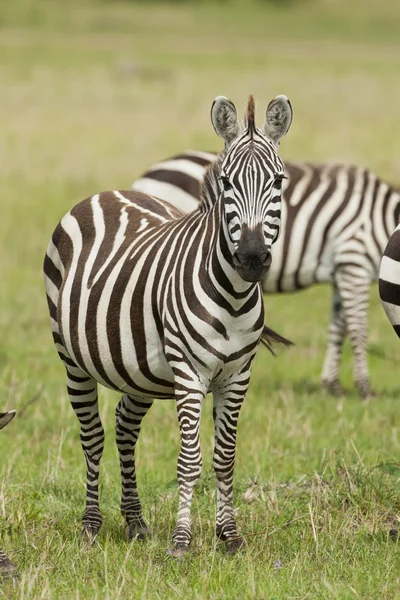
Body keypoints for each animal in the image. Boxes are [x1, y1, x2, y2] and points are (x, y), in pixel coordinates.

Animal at [44, 95, 294, 556]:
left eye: (278, 182)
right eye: (227, 182)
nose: (252, 258)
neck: (233, 298)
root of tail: (107, 192)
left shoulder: (238, 376)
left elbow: (224, 457)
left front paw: (229, 535)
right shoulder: (189, 372)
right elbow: (190, 459)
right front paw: (181, 541)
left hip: (138, 369)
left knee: (125, 428)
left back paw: (135, 522)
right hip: (71, 359)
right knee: (92, 435)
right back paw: (91, 525)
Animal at [133, 152, 400, 400]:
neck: (381, 218)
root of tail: (149, 176)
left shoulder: (341, 272)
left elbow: (338, 328)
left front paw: (331, 385)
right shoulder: (353, 261)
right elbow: (358, 328)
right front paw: (365, 389)